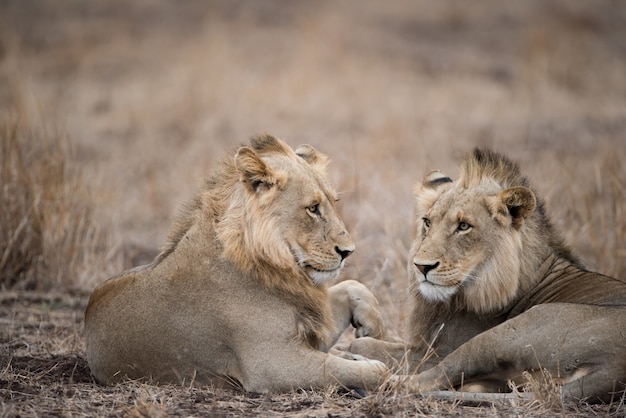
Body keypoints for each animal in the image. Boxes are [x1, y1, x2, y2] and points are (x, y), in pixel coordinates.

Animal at [83, 136, 386, 394]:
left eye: (334, 202)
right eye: (313, 208)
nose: (348, 252)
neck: (278, 264)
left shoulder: (309, 328)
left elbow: (352, 285)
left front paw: (371, 329)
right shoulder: (272, 363)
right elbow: (373, 372)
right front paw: (372, 364)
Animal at [348, 147, 624, 402]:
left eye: (463, 226)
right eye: (427, 222)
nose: (421, 266)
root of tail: (614, 370)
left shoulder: (433, 352)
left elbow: (363, 343)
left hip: (501, 335)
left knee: (427, 378)